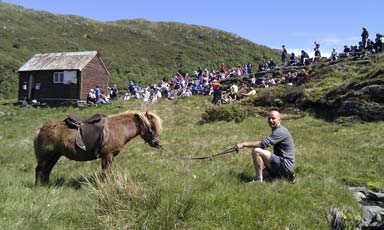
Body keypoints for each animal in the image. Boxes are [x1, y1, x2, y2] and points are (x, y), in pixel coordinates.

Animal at [33, 110, 164, 186]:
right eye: (151, 126)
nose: (156, 143)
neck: (118, 128)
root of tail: (41, 129)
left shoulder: (109, 157)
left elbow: (107, 171)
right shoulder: (107, 156)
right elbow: (105, 173)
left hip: (54, 156)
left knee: (47, 171)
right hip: (46, 156)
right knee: (40, 170)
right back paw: (39, 187)